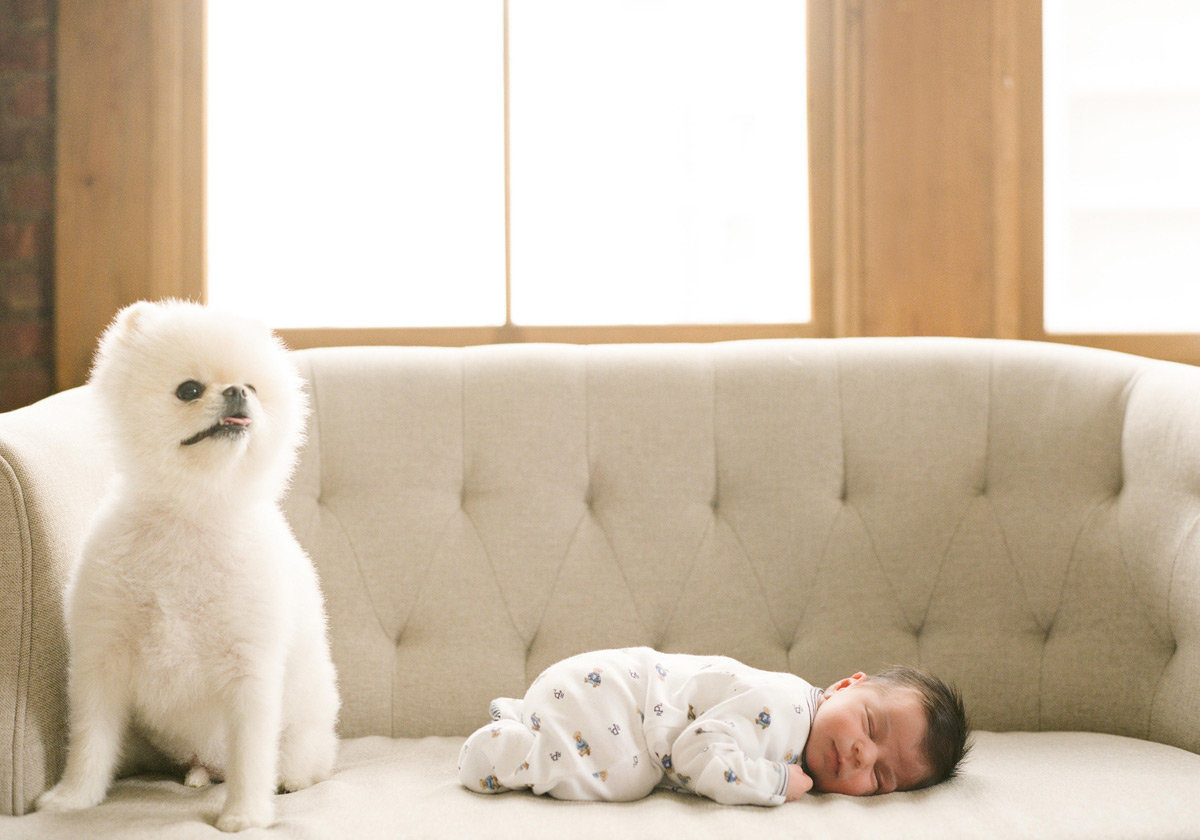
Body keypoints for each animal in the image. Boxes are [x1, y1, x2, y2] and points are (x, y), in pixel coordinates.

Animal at [37, 298, 338, 830]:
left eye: (254, 387)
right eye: (189, 390)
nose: (237, 391)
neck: (191, 515)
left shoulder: (250, 665)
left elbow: (251, 754)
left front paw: (245, 815)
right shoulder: (102, 654)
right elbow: (91, 740)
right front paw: (74, 798)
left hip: (306, 732)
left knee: (299, 759)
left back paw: (290, 780)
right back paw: (199, 775)